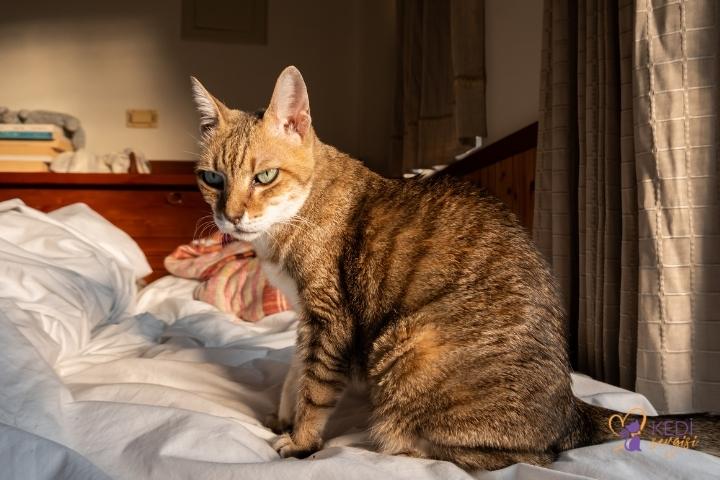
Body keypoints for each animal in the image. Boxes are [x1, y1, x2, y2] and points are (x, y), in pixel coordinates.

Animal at [188, 66, 716, 468]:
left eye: (265, 176)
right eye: (212, 178)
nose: (230, 217)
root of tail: (572, 411)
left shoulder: (329, 318)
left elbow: (314, 388)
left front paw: (300, 440)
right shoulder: (305, 317)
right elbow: (295, 374)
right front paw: (283, 416)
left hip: (409, 344)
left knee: (519, 456)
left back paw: (391, 442)